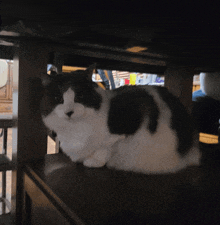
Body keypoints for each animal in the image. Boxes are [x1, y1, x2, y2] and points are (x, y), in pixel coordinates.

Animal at [40, 65, 201, 174]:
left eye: (79, 97)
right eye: (58, 99)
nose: (69, 112)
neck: (75, 128)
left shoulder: (126, 126)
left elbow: (105, 148)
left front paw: (94, 161)